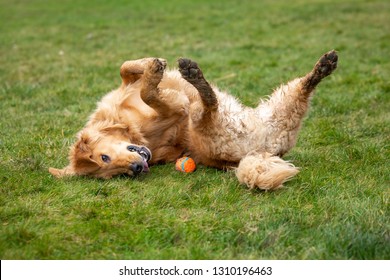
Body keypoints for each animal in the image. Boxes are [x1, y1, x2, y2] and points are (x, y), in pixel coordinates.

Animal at [48, 50, 336, 190]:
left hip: (278, 109)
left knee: (302, 89)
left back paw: (323, 66)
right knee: (209, 105)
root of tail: (257, 153)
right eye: (114, 175)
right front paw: (155, 73)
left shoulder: (125, 89)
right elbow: (150, 93)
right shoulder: (176, 110)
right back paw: (196, 79)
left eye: (104, 158)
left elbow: (127, 68)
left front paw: (153, 64)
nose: (137, 169)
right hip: (208, 123)